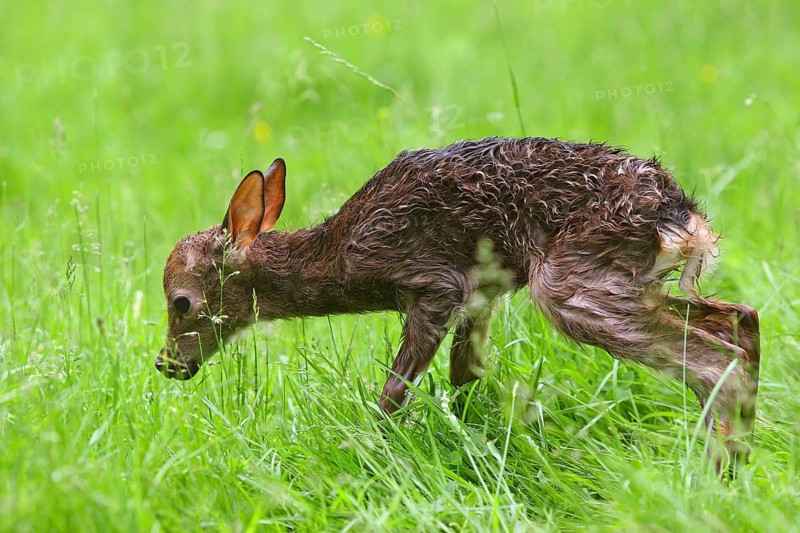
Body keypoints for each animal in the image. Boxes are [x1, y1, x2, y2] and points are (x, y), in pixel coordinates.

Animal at [157, 137, 760, 467]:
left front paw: (368, 447)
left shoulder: (433, 287)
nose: (168, 364)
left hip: (570, 287)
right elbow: (464, 379)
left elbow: (395, 391)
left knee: (716, 361)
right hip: (630, 283)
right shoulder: (479, 299)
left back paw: (715, 476)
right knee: (743, 321)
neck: (344, 254)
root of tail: (681, 216)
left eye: (181, 302)